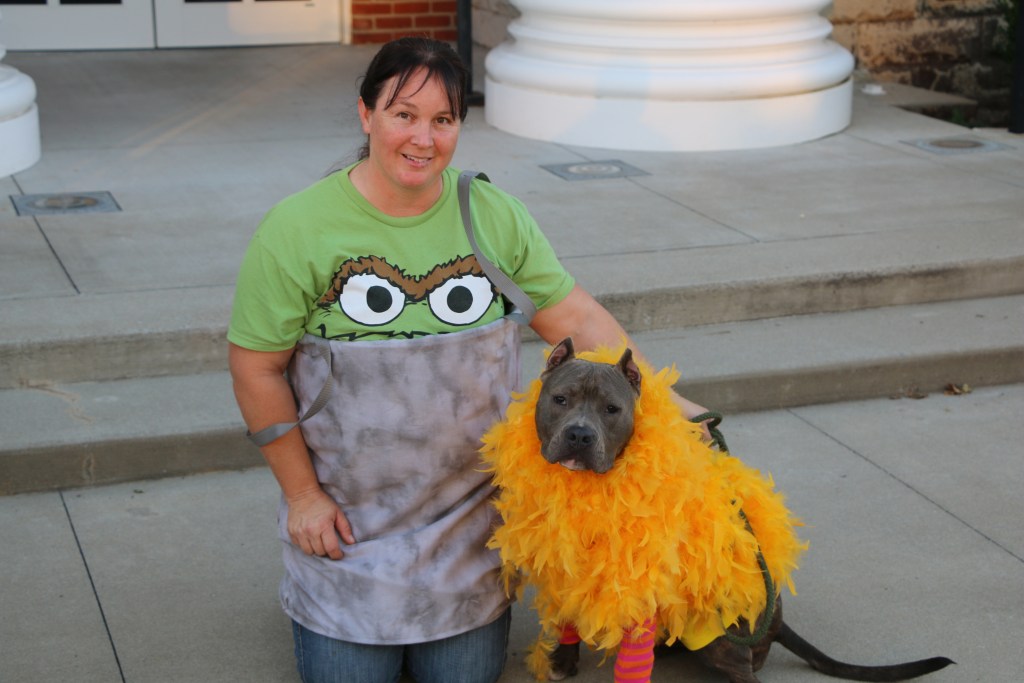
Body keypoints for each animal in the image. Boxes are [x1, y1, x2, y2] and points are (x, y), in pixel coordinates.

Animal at [482, 338, 954, 683]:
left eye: (612, 409)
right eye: (560, 399)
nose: (580, 435)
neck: (586, 490)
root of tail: (777, 620)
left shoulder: (641, 584)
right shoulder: (563, 566)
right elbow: (567, 620)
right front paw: (562, 661)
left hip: (722, 636)